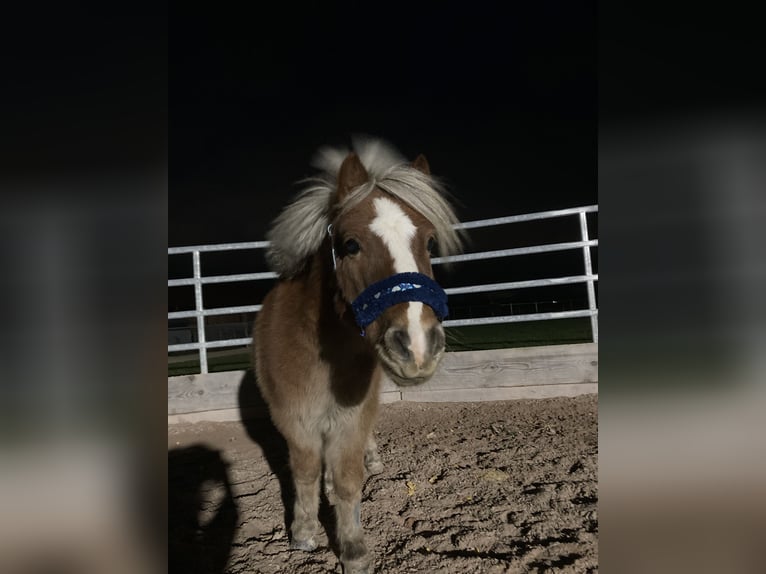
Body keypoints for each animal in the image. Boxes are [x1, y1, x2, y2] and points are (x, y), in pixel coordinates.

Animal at [255, 137, 464, 572]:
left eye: (429, 242)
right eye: (350, 244)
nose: (418, 344)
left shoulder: (351, 418)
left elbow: (349, 480)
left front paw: (353, 550)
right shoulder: (294, 419)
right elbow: (305, 471)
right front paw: (303, 533)